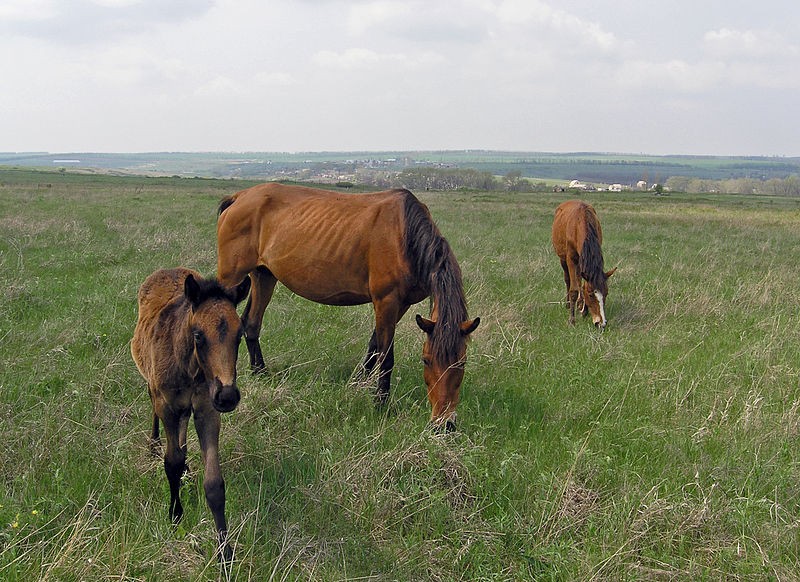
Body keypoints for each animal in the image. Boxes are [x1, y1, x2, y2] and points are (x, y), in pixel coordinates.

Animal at [131, 268, 250, 560]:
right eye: (198, 335)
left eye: (240, 335)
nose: (227, 396)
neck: (188, 366)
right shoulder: (166, 405)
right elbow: (171, 462)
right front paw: (175, 514)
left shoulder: (207, 408)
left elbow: (214, 483)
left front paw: (225, 552)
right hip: (152, 386)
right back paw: (153, 444)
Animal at [216, 182, 482, 434]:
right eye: (426, 360)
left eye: (462, 363)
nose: (443, 425)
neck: (404, 236)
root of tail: (238, 197)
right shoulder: (386, 301)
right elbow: (385, 356)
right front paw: (380, 403)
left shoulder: (401, 305)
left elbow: (374, 346)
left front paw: (358, 383)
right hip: (231, 277)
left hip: (264, 275)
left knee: (251, 324)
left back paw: (259, 372)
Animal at [552, 200, 620, 328]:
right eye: (591, 295)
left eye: (606, 293)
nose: (601, 323)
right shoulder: (571, 258)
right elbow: (574, 289)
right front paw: (572, 320)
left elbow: (583, 284)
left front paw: (585, 311)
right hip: (563, 259)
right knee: (568, 279)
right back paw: (568, 303)